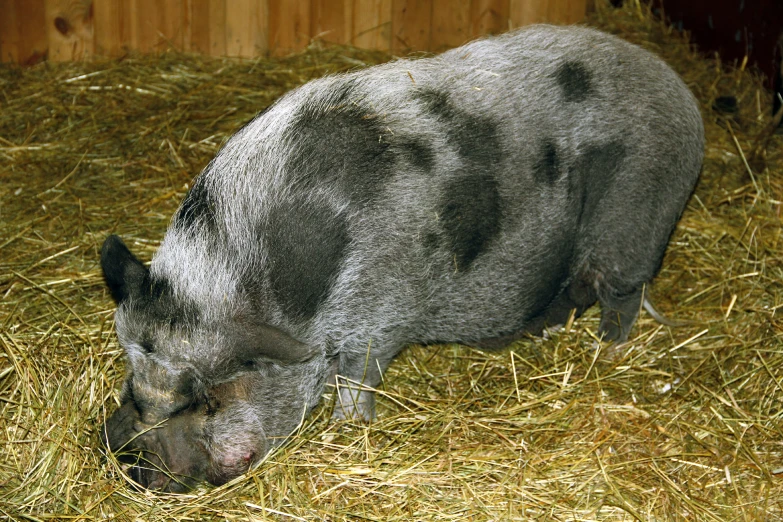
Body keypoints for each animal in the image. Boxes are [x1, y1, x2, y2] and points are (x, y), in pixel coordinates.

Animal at [98, 22, 704, 490]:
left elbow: (359, 379)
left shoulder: (378, 315)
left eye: (208, 401)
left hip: (635, 223)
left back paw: (609, 349)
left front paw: (349, 431)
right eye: (133, 382)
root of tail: (678, 90)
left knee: (621, 293)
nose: (135, 469)